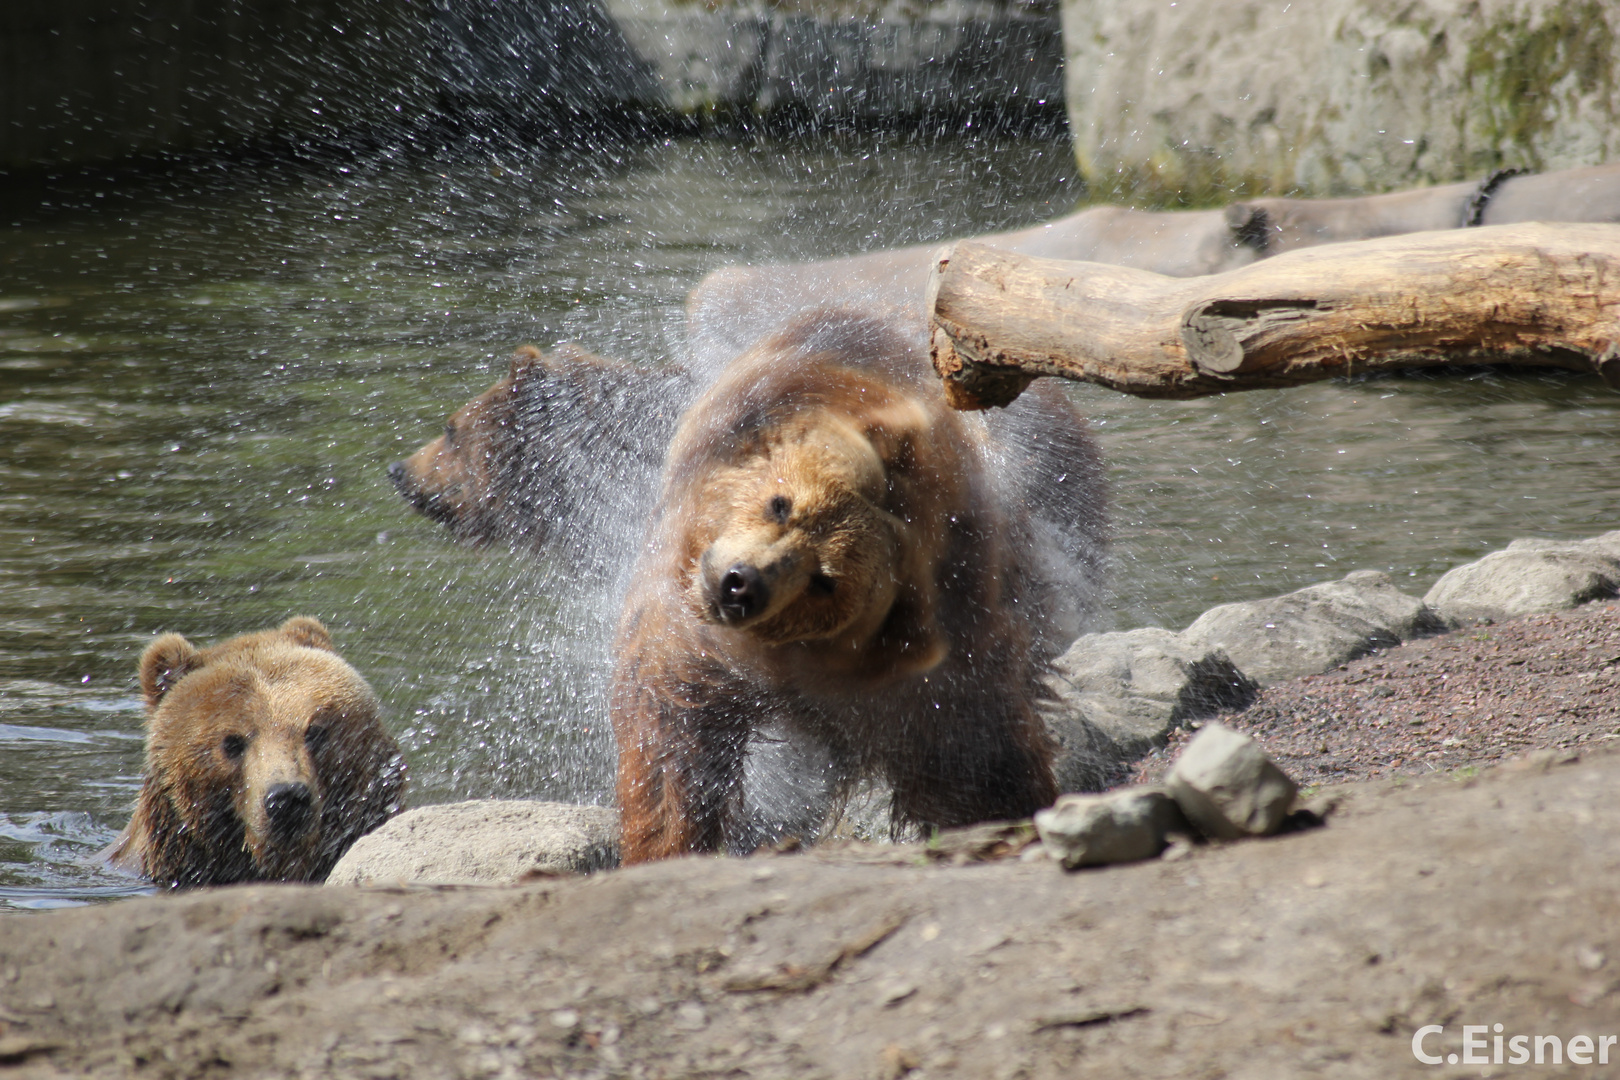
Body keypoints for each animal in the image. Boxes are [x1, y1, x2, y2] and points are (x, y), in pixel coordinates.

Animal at [609, 307, 1101, 867]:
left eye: (824, 581)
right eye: (780, 504)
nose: (741, 584)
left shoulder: (934, 673)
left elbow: (978, 763)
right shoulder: (692, 637)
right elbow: (671, 740)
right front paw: (665, 843)